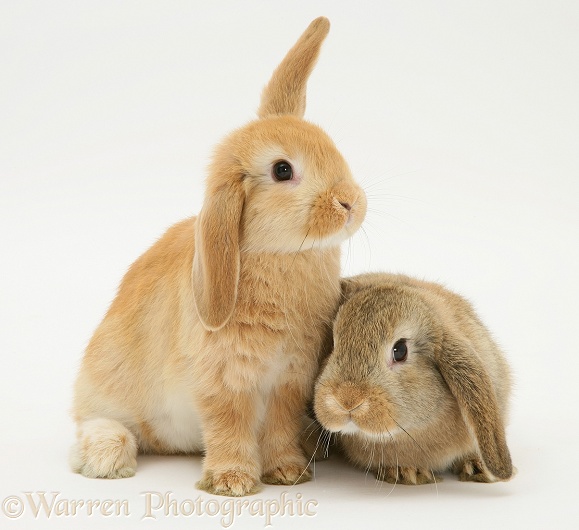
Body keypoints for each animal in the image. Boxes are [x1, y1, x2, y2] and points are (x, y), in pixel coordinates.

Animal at [69, 17, 368, 496]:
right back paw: (108, 459)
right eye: (282, 170)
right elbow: (229, 425)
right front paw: (232, 483)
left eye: (330, 145)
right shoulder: (223, 380)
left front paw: (288, 472)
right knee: (99, 423)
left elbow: (280, 426)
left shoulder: (291, 379)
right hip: (108, 387)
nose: (350, 203)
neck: (282, 257)